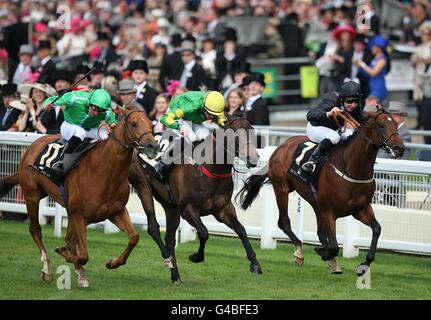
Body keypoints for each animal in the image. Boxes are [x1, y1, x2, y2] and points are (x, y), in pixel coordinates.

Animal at [0, 107, 159, 288]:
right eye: (133, 124)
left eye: (150, 124)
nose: (153, 146)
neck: (103, 171)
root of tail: (33, 145)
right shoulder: (79, 215)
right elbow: (83, 255)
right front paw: (63, 252)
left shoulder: (115, 212)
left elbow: (134, 238)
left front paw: (112, 263)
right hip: (32, 196)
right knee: (35, 230)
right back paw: (47, 270)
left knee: (69, 239)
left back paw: (79, 273)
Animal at [128, 115, 262, 282]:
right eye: (235, 134)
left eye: (252, 131)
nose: (253, 158)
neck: (210, 169)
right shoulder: (188, 209)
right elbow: (204, 232)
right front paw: (196, 256)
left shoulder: (223, 209)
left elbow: (241, 230)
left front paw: (255, 263)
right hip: (144, 188)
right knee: (153, 228)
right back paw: (168, 261)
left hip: (170, 205)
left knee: (170, 238)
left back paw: (175, 275)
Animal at [238, 110, 406, 276]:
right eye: (381, 124)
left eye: (395, 123)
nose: (399, 148)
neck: (352, 168)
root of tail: (282, 146)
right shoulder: (329, 211)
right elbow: (334, 246)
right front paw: (323, 252)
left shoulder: (360, 209)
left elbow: (377, 229)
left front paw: (364, 264)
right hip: (282, 188)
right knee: (283, 222)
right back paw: (299, 252)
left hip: (314, 201)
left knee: (319, 231)